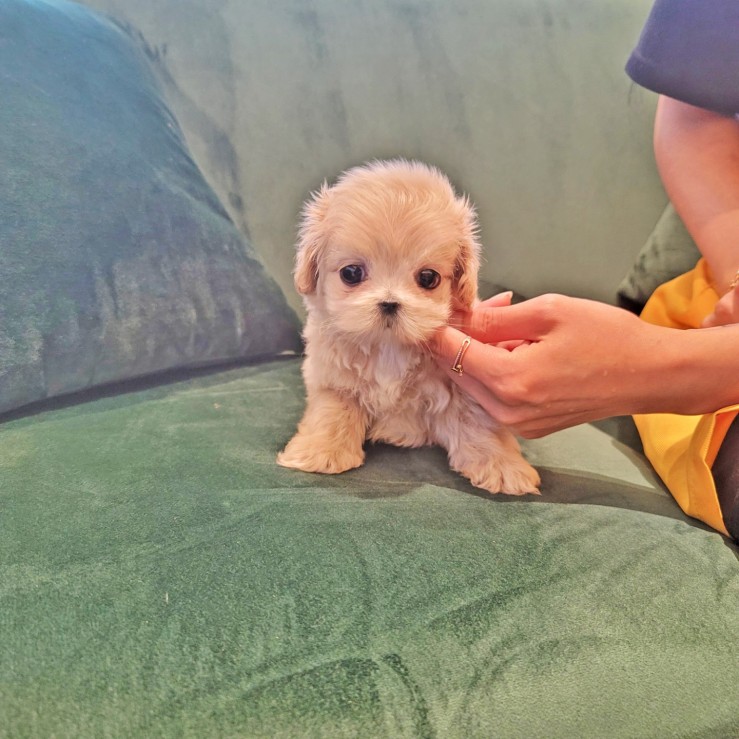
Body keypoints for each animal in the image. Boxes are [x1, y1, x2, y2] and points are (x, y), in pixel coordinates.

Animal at [277, 159, 540, 495]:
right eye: (351, 273)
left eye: (428, 278)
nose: (389, 303)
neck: (389, 346)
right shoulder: (332, 377)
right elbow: (332, 411)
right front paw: (321, 453)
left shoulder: (465, 391)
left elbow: (478, 423)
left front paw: (502, 467)